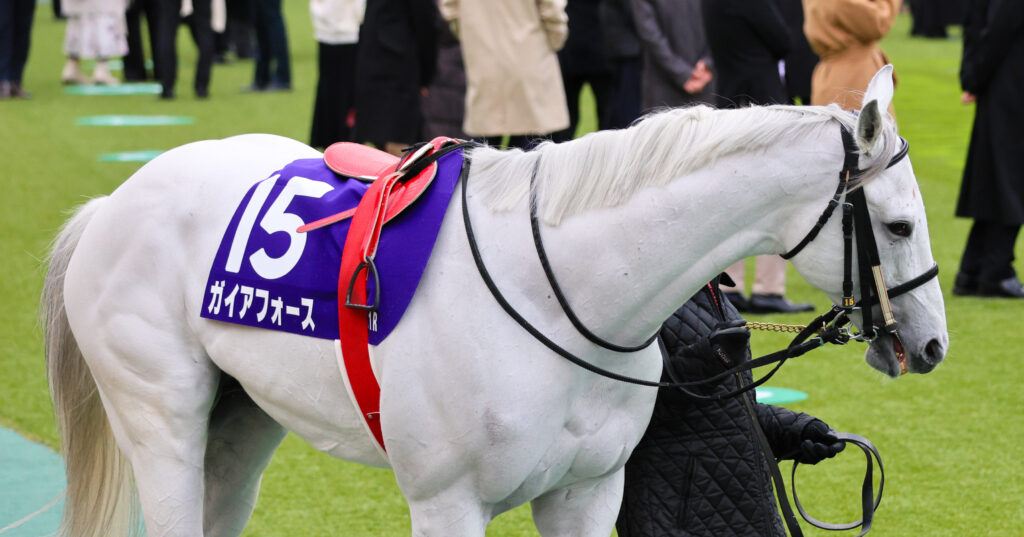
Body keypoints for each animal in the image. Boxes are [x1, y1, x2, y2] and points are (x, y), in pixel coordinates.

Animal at [41, 66, 946, 537]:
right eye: (899, 224)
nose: (932, 344)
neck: (563, 294)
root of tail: (111, 205)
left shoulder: (588, 493)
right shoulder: (448, 504)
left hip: (240, 423)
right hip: (160, 416)